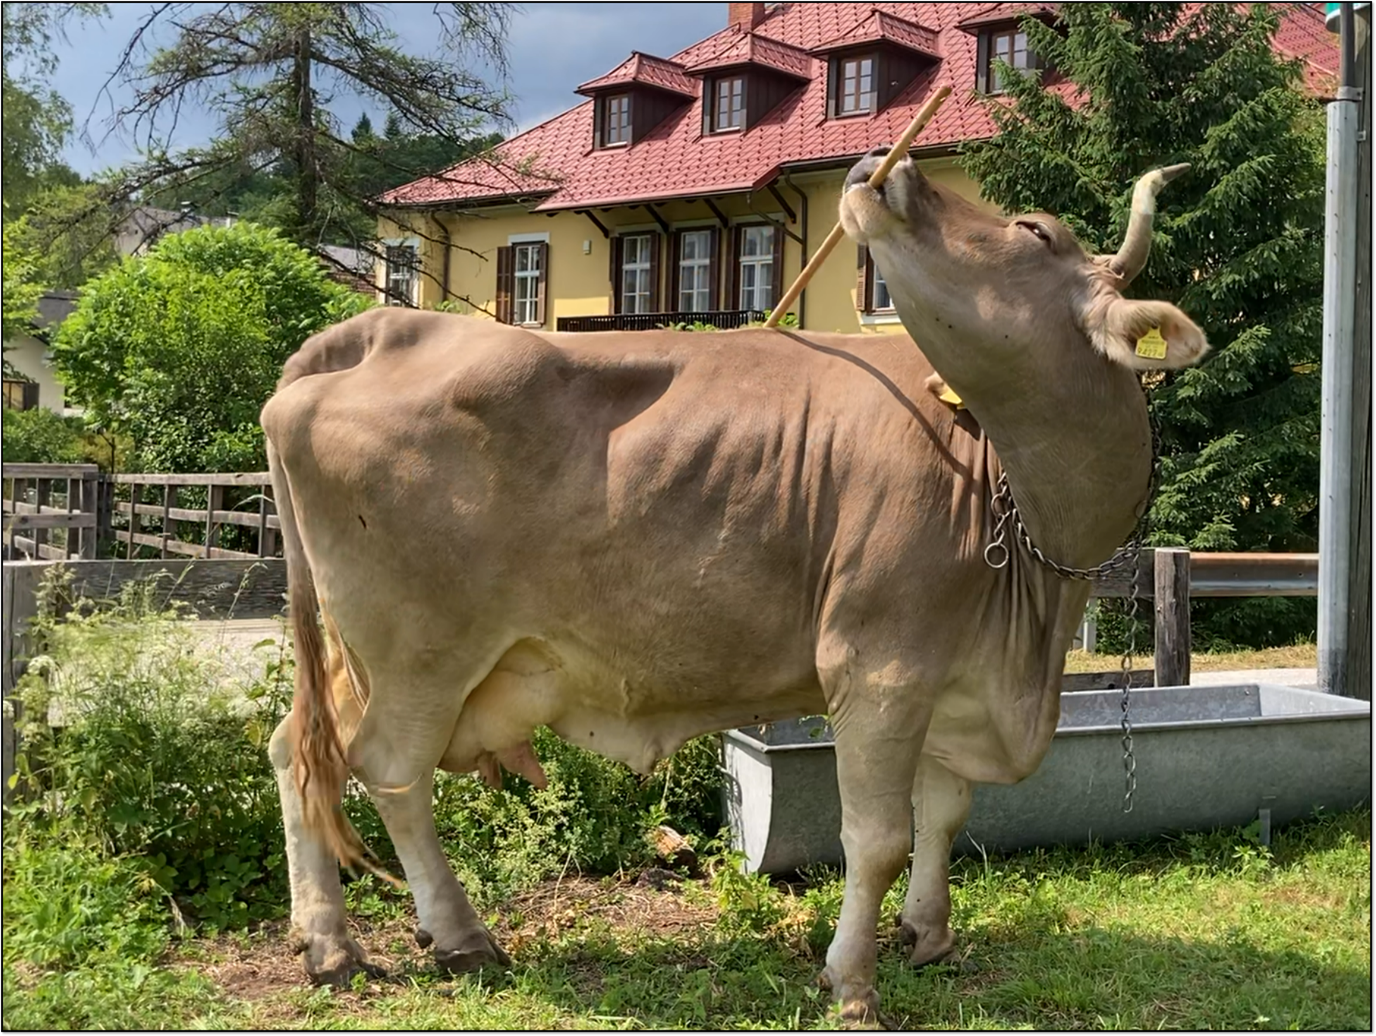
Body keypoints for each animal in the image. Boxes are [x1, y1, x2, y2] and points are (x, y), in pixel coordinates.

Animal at [260, 149, 1207, 1025]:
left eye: (1033, 232)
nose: (882, 165)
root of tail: (382, 331)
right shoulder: (879, 664)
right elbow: (876, 838)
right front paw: (851, 982)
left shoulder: (956, 673)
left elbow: (943, 811)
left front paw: (928, 935)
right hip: (421, 652)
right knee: (390, 773)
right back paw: (460, 936)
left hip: (359, 655)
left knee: (298, 752)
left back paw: (328, 942)